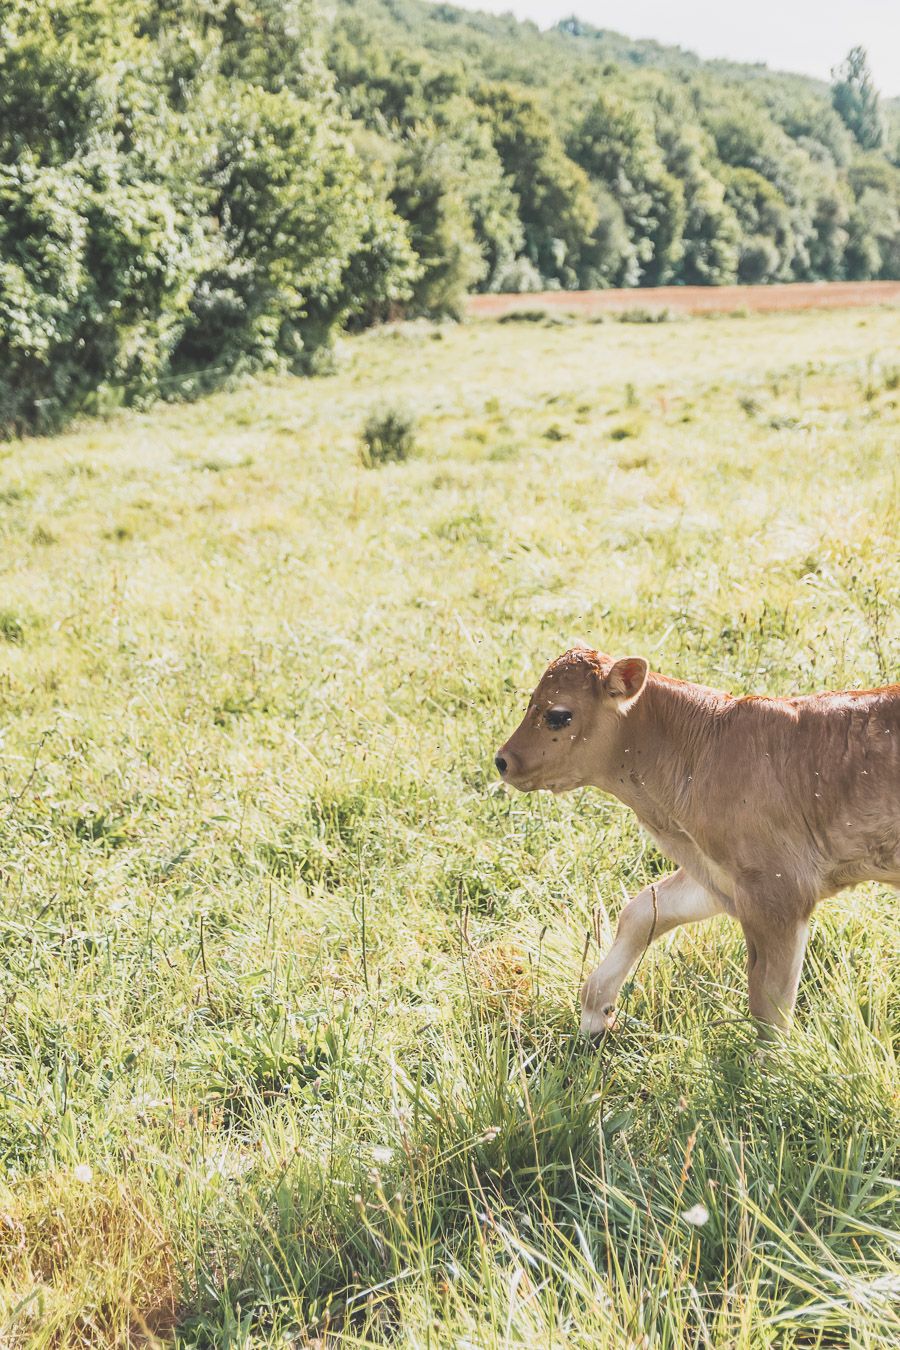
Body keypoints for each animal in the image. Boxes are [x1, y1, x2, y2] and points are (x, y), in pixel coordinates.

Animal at [496, 648, 895, 1036]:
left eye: (558, 715)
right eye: (530, 702)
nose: (502, 761)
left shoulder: (778, 891)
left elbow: (769, 1005)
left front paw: (775, 1060)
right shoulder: (719, 874)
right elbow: (643, 911)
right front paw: (596, 1012)